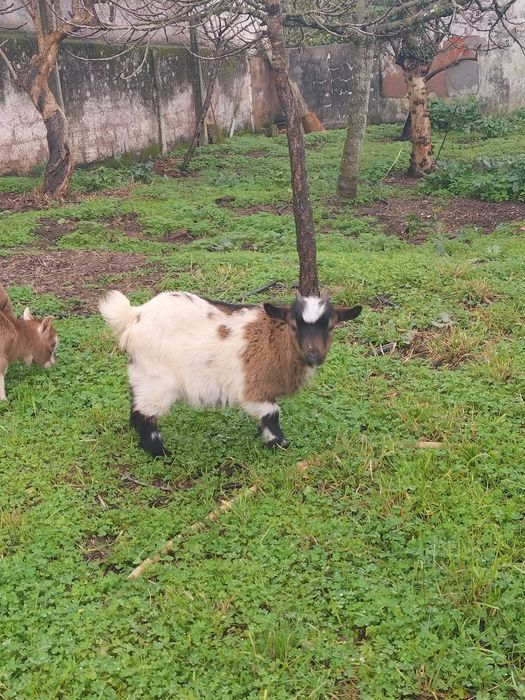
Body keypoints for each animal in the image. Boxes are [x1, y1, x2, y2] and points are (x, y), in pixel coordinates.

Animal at [99, 290, 362, 456]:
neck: (273, 342)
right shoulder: (253, 388)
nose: (313, 354)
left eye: (331, 326)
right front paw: (279, 444)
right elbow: (272, 414)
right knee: (146, 415)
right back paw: (160, 453)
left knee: (135, 406)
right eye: (294, 325)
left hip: (140, 373)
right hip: (157, 380)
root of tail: (134, 315)